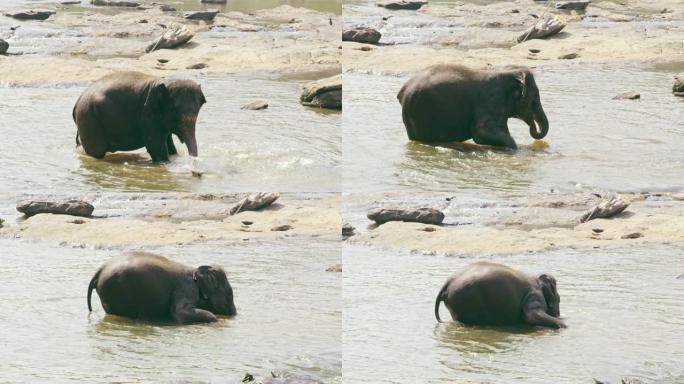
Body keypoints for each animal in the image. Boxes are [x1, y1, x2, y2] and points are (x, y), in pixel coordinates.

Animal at [74, 70, 206, 162]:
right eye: (174, 111)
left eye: (198, 111)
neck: (165, 82)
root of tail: (77, 102)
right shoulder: (146, 114)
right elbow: (156, 148)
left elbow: (170, 146)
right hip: (88, 119)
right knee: (96, 152)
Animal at [87, 252, 236, 324]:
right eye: (229, 295)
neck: (195, 270)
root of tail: (100, 270)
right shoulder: (187, 288)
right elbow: (179, 312)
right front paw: (216, 320)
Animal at [396, 63, 552, 149]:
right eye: (534, 100)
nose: (532, 125)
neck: (508, 73)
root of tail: (403, 90)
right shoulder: (492, 99)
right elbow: (482, 132)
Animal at [436, 260, 564, 328]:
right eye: (559, 299)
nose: (559, 316)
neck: (536, 280)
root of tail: (447, 283)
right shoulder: (535, 295)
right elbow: (530, 315)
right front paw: (563, 325)